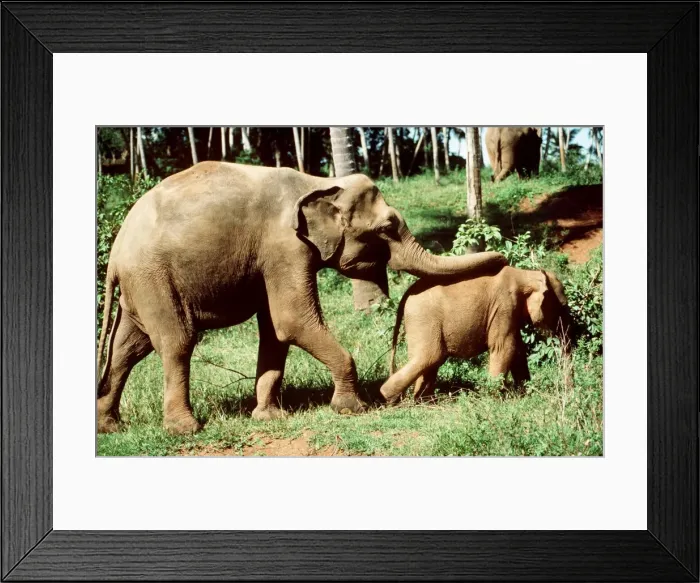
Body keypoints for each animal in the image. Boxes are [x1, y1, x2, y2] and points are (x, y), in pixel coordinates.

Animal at [97, 161, 508, 434]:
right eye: (388, 227)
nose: (504, 258)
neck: (320, 182)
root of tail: (115, 252)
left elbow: (275, 332)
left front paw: (269, 417)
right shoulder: (284, 246)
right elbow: (292, 320)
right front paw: (351, 408)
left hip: (141, 288)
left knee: (126, 349)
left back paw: (109, 425)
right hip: (154, 278)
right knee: (176, 342)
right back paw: (185, 429)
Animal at [379, 266, 572, 403]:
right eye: (563, 307)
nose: (569, 390)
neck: (526, 274)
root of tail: (406, 294)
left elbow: (518, 349)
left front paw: (524, 393)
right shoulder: (504, 307)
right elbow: (505, 348)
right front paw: (496, 399)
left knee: (430, 361)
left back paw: (424, 401)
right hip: (423, 319)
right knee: (429, 356)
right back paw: (389, 398)